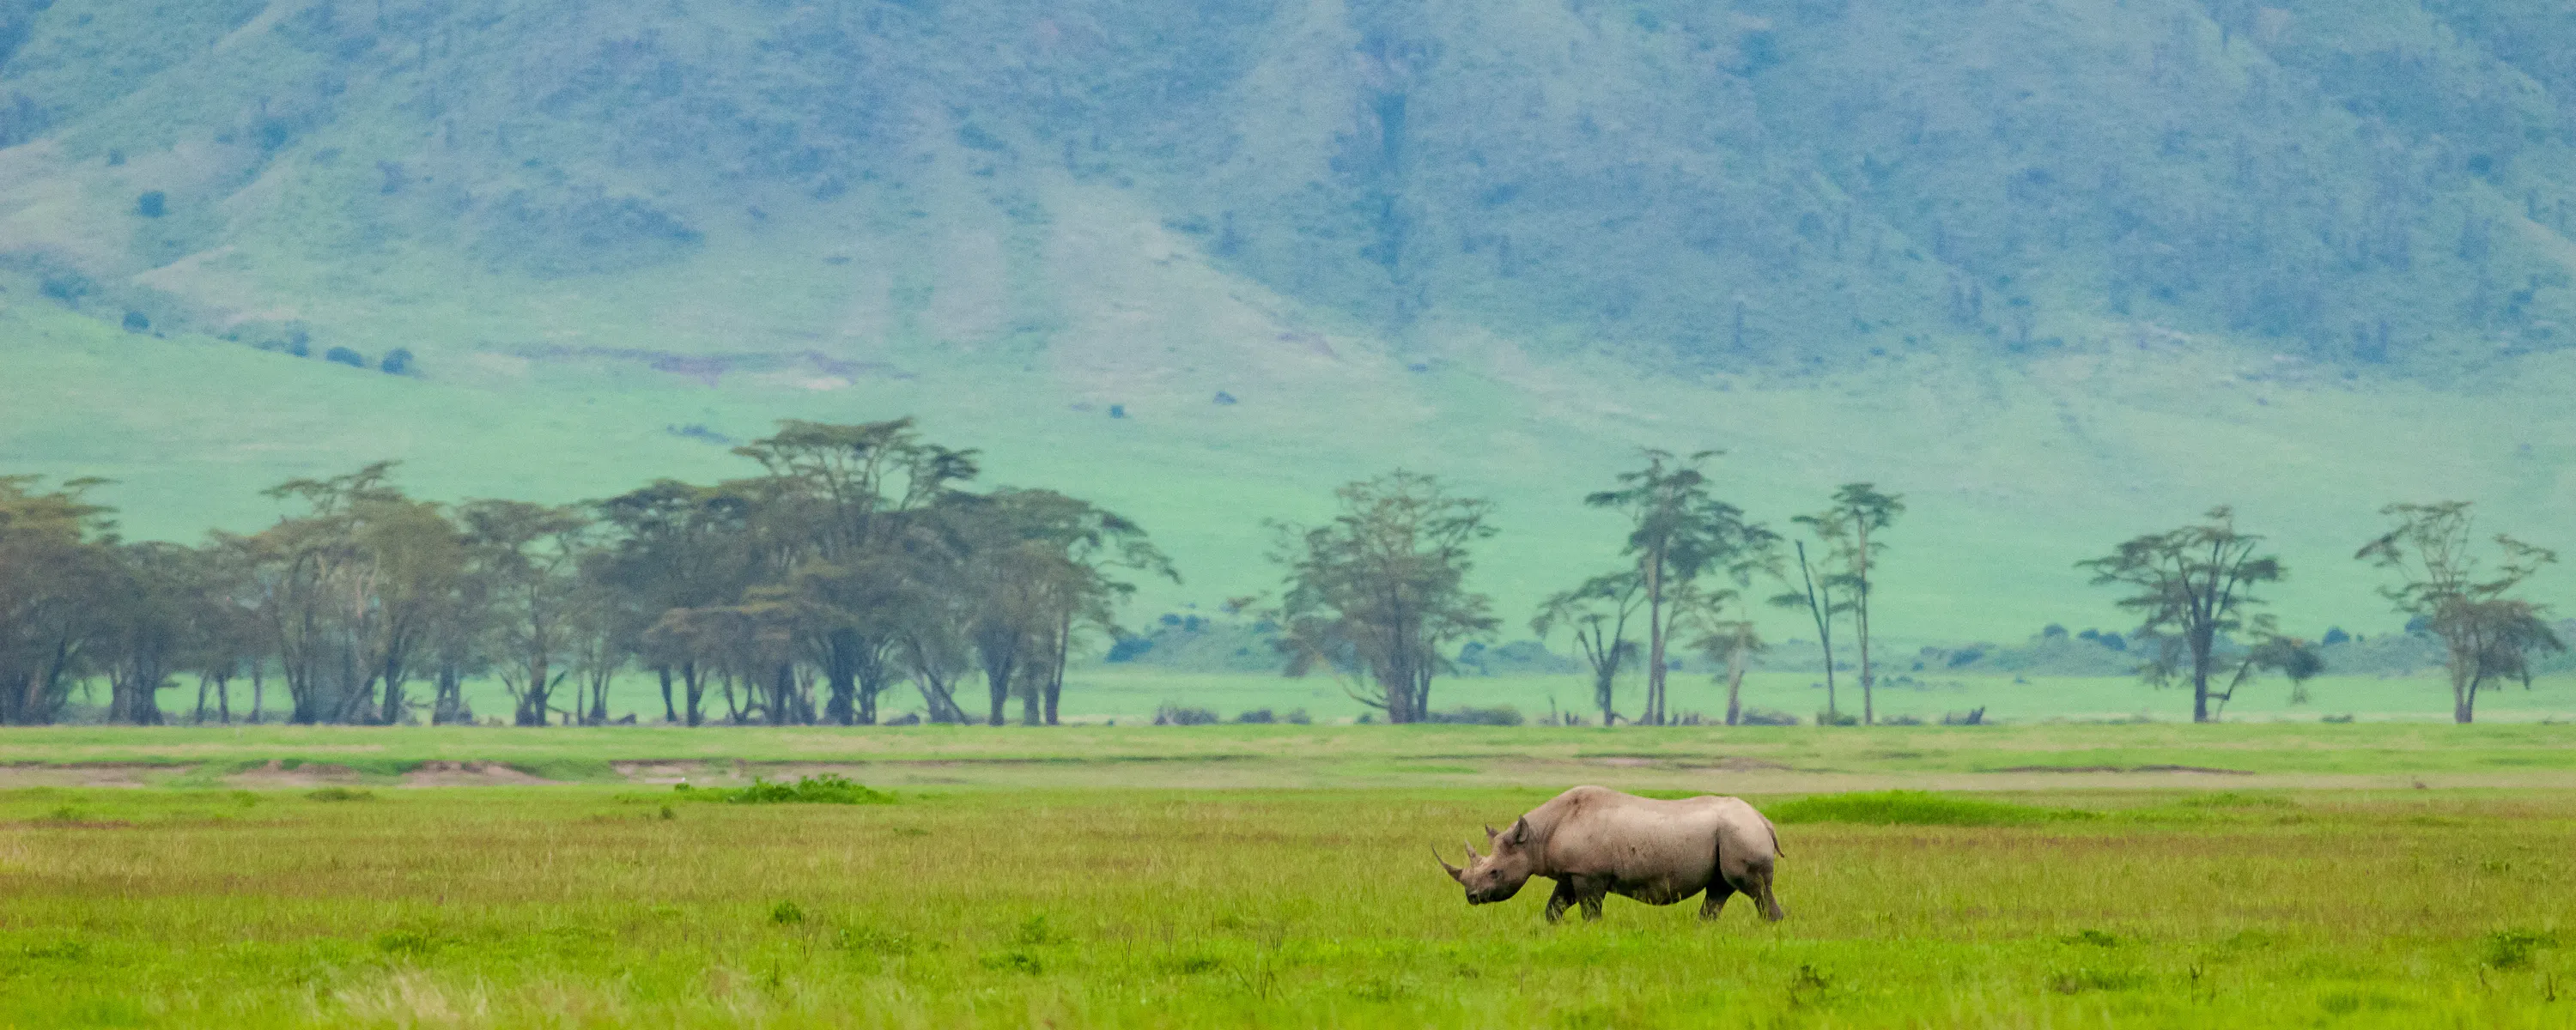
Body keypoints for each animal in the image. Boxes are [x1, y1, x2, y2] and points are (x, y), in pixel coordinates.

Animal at [1434, 785, 1785, 923]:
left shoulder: (1589, 874)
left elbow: (1591, 911)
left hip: (1740, 833)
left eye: (1495, 873)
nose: (1472, 898)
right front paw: (1552, 928)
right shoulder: (1571, 872)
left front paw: (1592, 932)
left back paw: (1770, 926)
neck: (1536, 837)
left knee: (1754, 889)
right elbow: (1554, 907)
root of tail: (1765, 821)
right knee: (1719, 890)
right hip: (1730, 835)